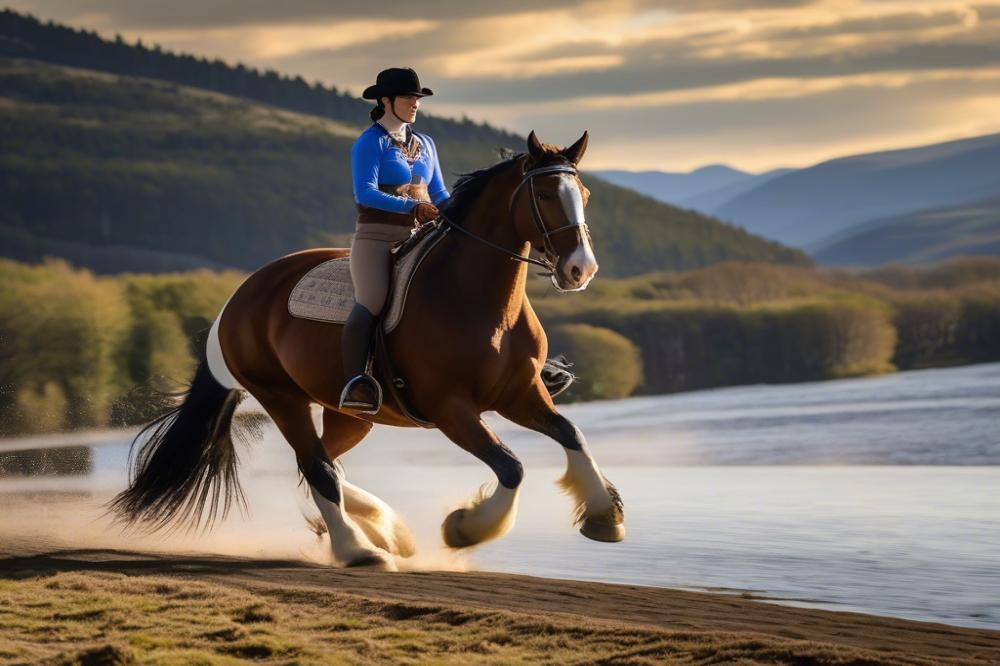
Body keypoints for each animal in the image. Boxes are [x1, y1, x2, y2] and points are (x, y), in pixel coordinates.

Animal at [109, 132, 624, 568]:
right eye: (544, 196)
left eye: (585, 196)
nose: (580, 270)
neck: (478, 299)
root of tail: (238, 299)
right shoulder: (452, 408)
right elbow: (511, 466)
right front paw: (465, 528)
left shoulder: (520, 393)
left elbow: (572, 434)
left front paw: (604, 516)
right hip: (281, 397)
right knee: (317, 466)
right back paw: (359, 549)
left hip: (350, 413)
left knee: (324, 463)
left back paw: (382, 531)